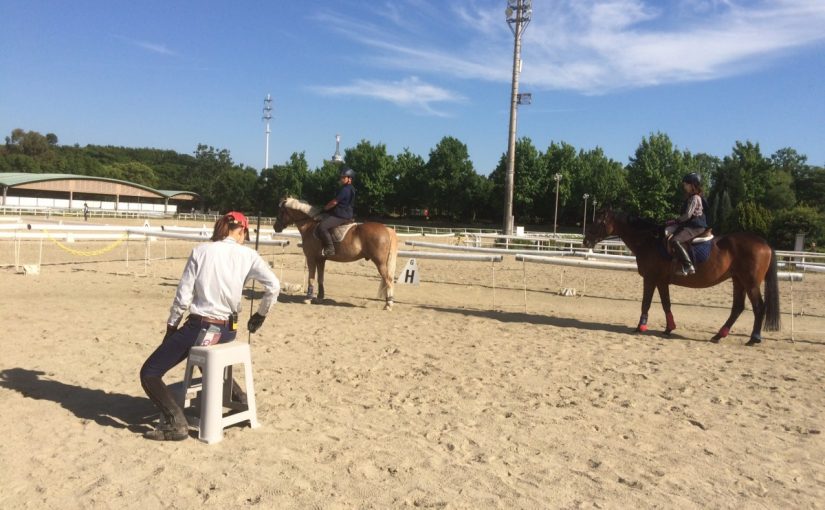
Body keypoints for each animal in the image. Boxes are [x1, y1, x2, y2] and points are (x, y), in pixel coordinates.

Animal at [583, 209, 780, 346]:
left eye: (598, 221)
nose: (585, 241)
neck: (648, 241)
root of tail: (764, 243)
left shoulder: (650, 278)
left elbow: (646, 302)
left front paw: (640, 326)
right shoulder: (661, 281)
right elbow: (666, 304)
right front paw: (669, 328)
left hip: (750, 282)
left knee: (758, 307)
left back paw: (754, 338)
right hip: (738, 280)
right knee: (737, 308)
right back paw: (718, 335)